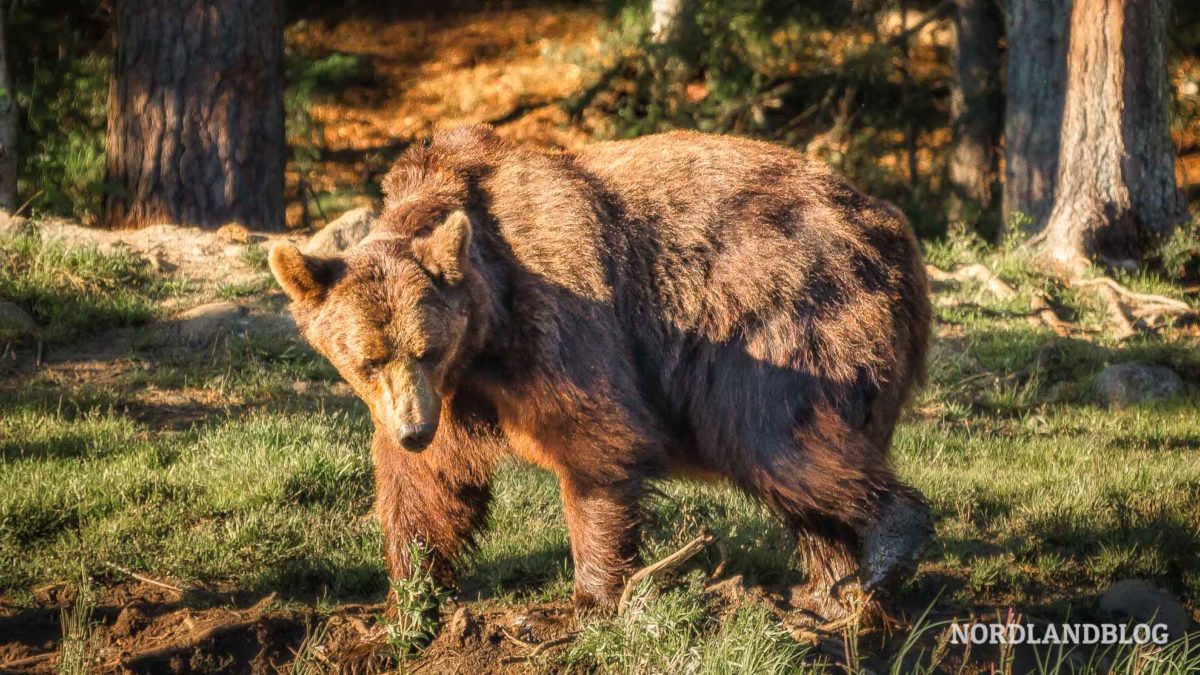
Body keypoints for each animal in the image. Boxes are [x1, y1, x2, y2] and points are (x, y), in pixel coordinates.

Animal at [272, 123, 936, 619]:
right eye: (369, 358)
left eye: (427, 347)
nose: (412, 429)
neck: (485, 336)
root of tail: (892, 227)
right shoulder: (455, 394)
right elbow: (428, 484)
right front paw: (410, 596)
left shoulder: (557, 317)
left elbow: (598, 441)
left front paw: (594, 593)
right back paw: (828, 587)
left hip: (784, 316)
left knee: (777, 440)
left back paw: (884, 550)